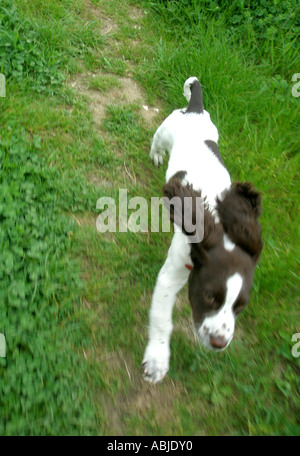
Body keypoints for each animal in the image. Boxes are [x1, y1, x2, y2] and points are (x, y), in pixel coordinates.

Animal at [142, 76, 262, 382]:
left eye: (240, 306)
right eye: (209, 296)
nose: (219, 343)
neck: (221, 232)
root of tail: (194, 108)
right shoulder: (170, 275)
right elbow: (162, 320)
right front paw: (157, 360)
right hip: (166, 128)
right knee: (156, 140)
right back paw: (156, 154)